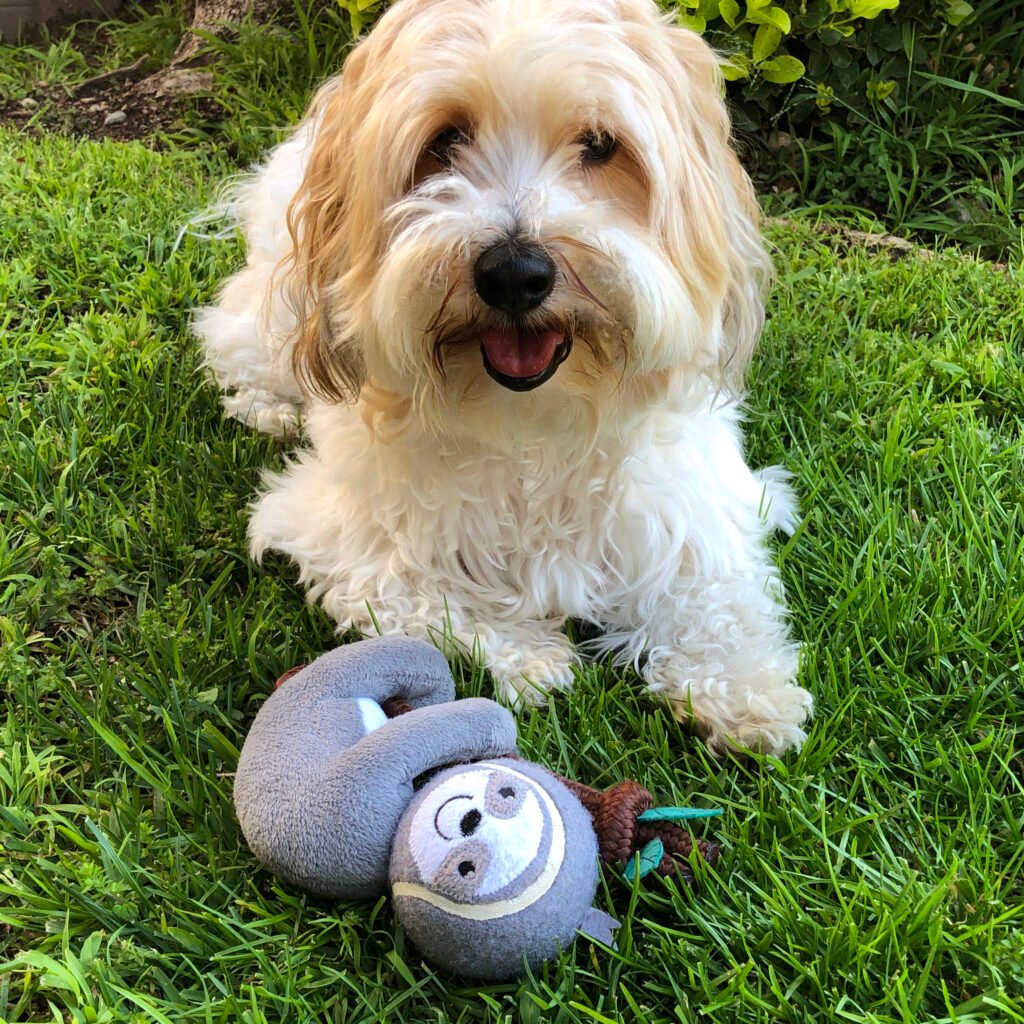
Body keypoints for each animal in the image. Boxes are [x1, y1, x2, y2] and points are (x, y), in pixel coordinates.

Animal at [195, 0, 813, 754]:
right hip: (275, 317)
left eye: (599, 145)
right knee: (230, 332)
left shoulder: (700, 502)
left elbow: (715, 590)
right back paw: (265, 405)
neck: (536, 425)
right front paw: (531, 652)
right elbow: (425, 597)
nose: (516, 273)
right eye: (445, 140)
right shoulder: (338, 535)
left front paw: (747, 690)